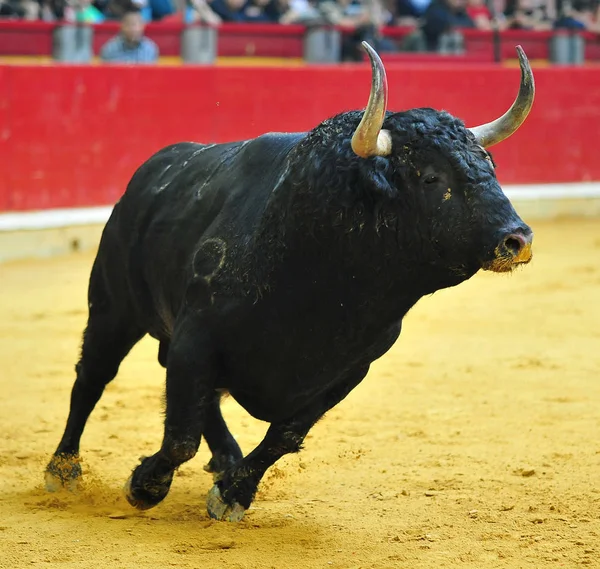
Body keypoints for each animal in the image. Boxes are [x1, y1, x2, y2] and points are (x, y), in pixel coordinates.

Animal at [45, 41, 536, 520]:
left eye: (490, 167)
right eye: (431, 177)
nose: (517, 239)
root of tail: (151, 171)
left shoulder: (348, 372)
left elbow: (283, 435)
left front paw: (233, 492)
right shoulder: (196, 338)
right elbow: (181, 435)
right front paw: (145, 486)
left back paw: (226, 458)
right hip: (112, 306)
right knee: (93, 376)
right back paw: (63, 470)